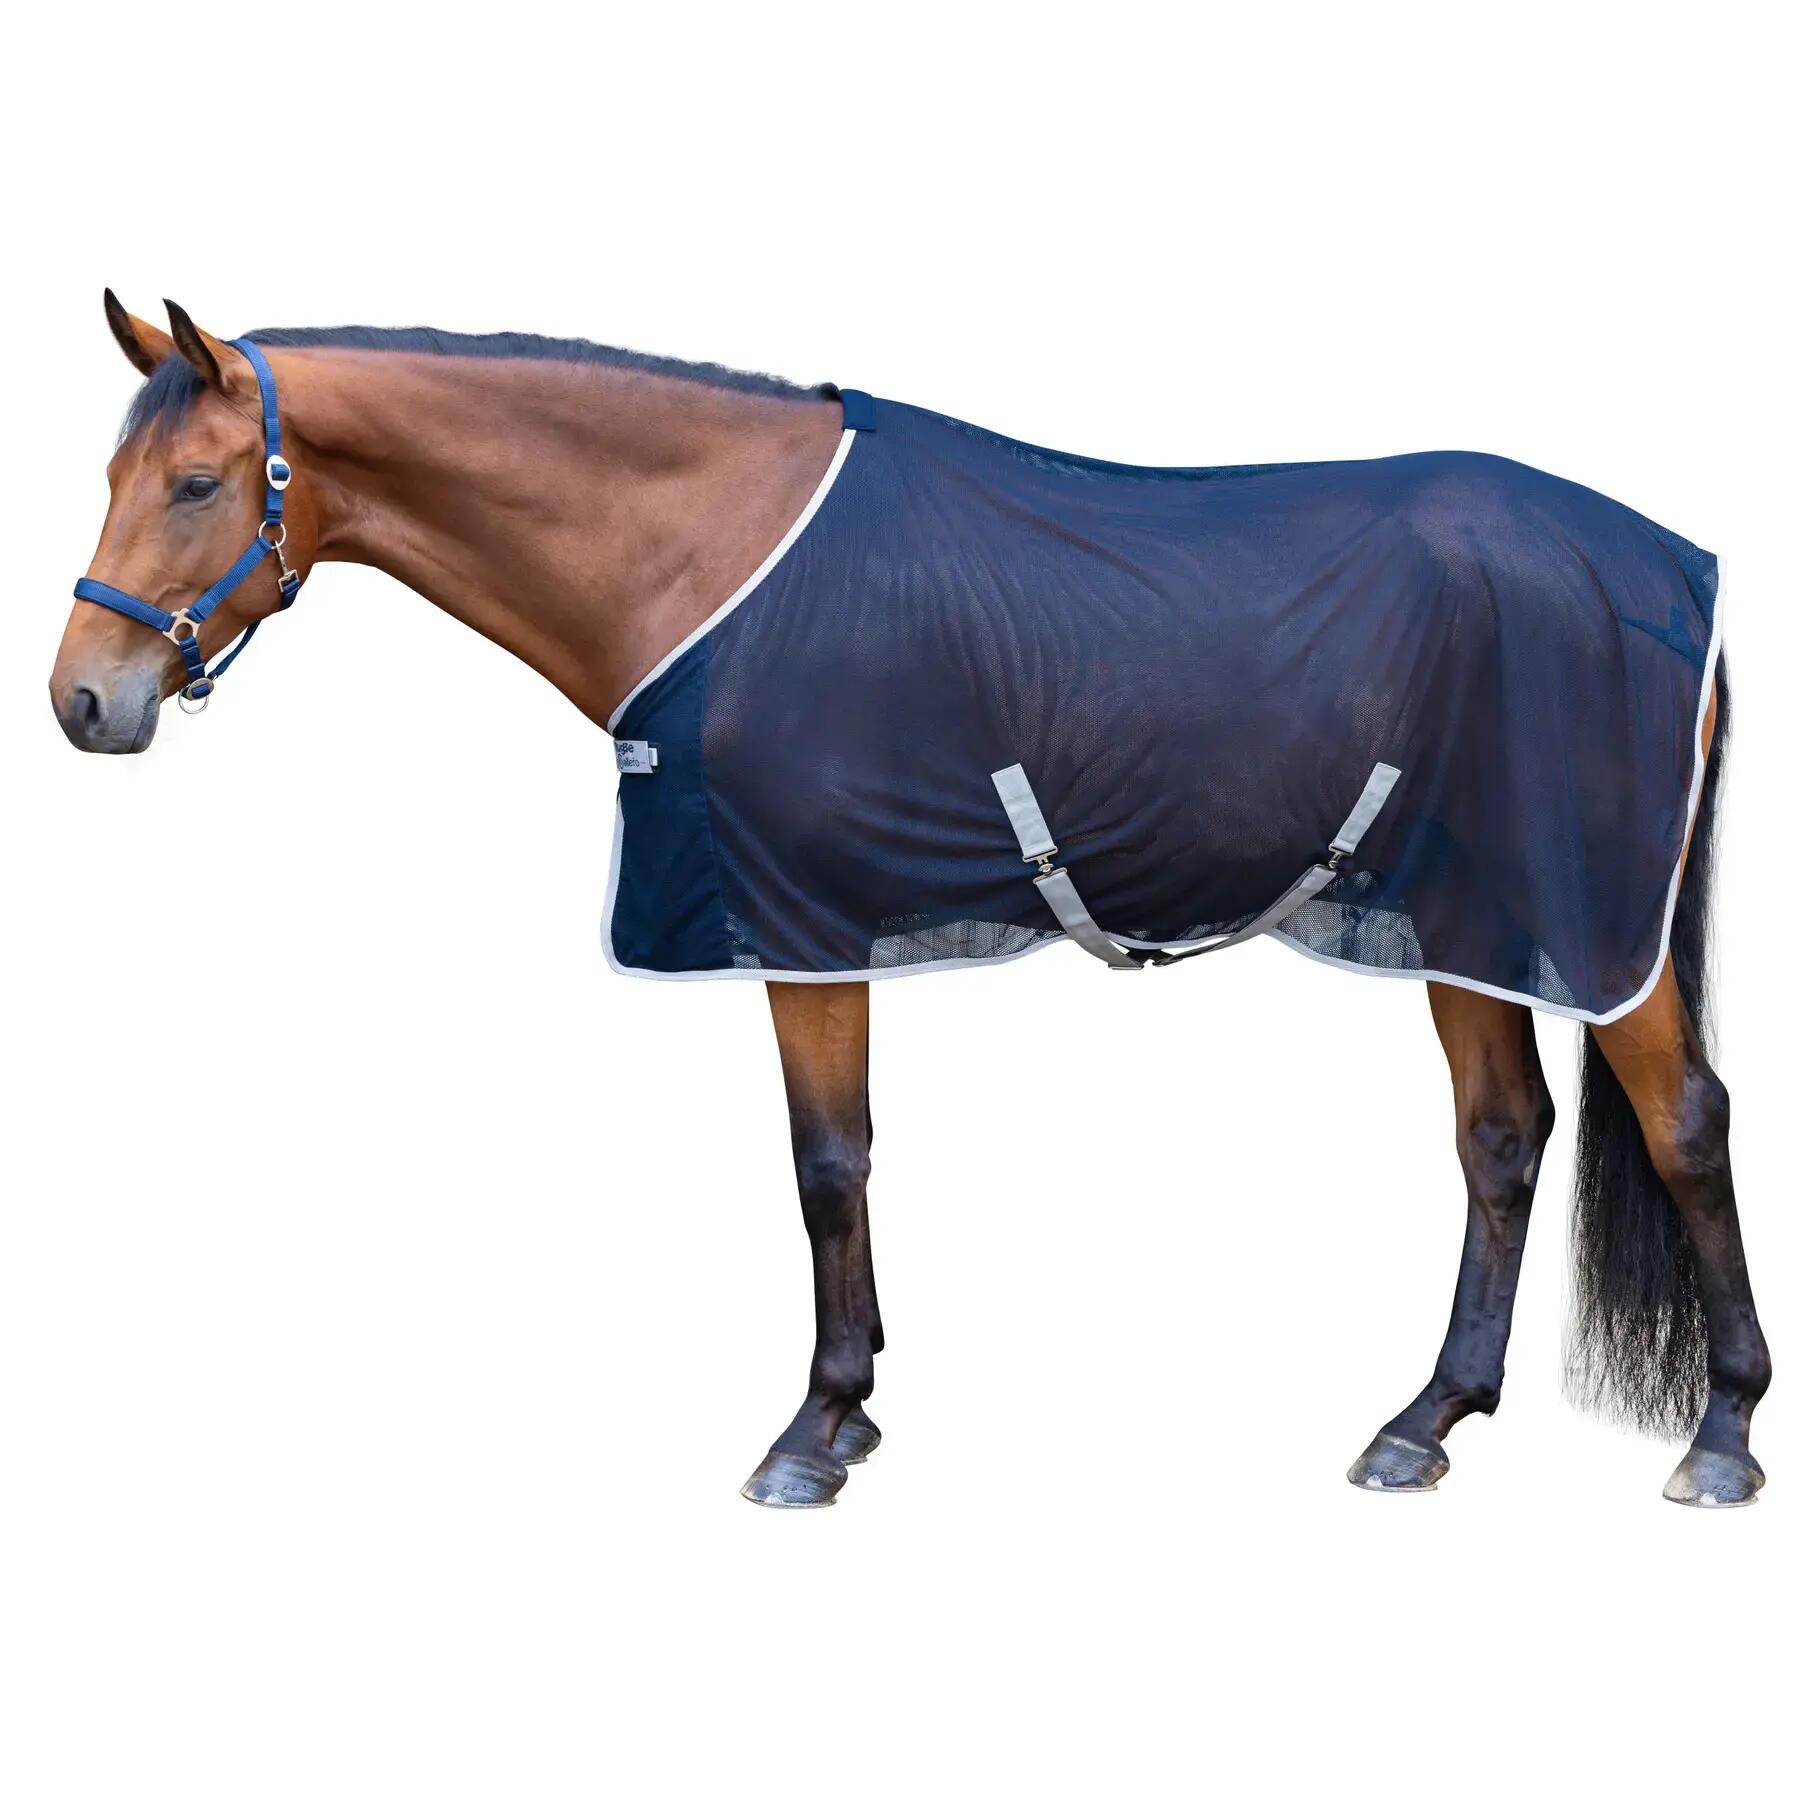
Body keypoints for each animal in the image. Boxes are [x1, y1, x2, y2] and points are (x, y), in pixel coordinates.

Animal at [50, 294, 1770, 1509]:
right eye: (117, 473)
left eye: (196, 483)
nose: (83, 701)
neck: (709, 552)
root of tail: (1673, 573)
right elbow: (845, 1159)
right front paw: (854, 1404)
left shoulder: (798, 924)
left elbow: (826, 1164)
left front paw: (814, 1429)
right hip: (1462, 917)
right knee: (1502, 1137)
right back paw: (1424, 1424)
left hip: (1586, 929)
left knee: (1682, 1119)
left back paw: (1723, 1436)